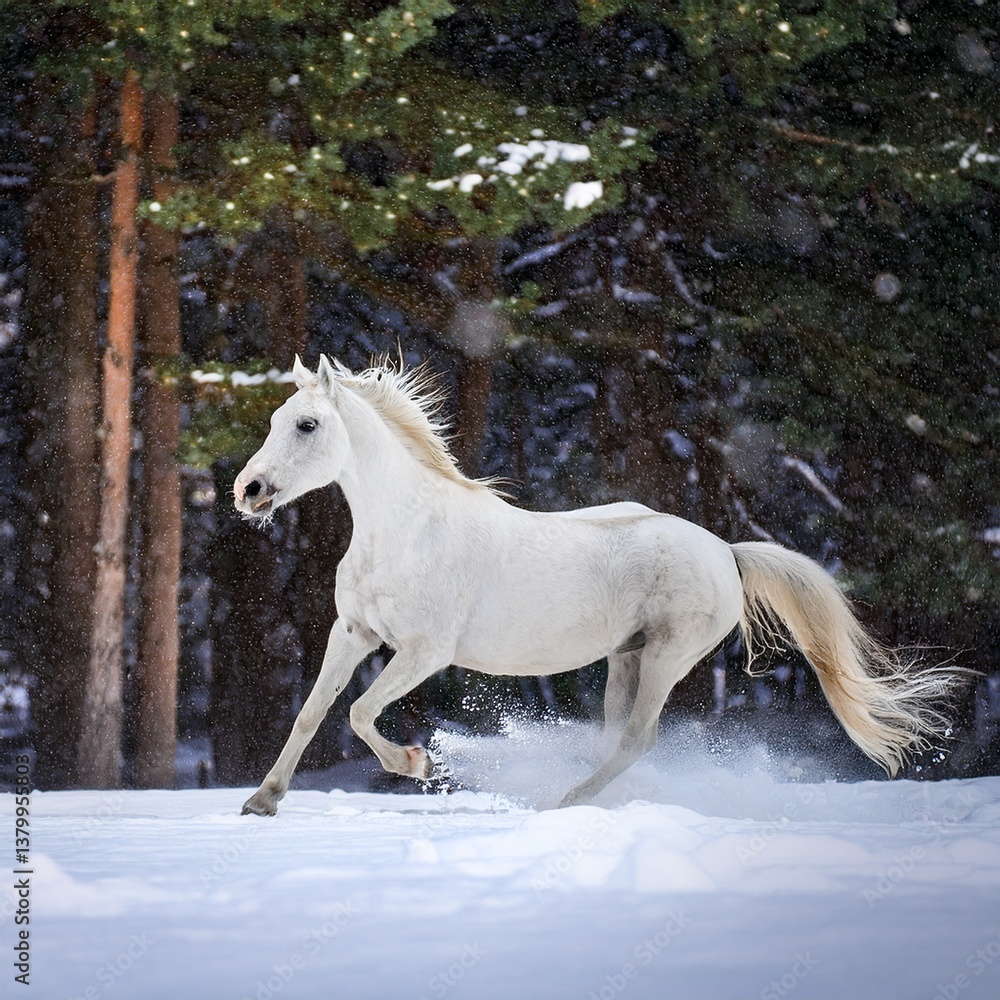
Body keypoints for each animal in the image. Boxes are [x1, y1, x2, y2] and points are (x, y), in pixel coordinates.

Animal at [234, 355, 958, 817]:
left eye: (307, 425)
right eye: (274, 420)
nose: (248, 491)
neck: (405, 531)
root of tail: (726, 550)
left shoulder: (424, 652)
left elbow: (359, 712)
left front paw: (417, 764)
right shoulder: (353, 632)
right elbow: (312, 713)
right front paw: (262, 801)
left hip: (669, 655)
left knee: (638, 740)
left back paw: (567, 801)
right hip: (626, 657)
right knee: (618, 738)